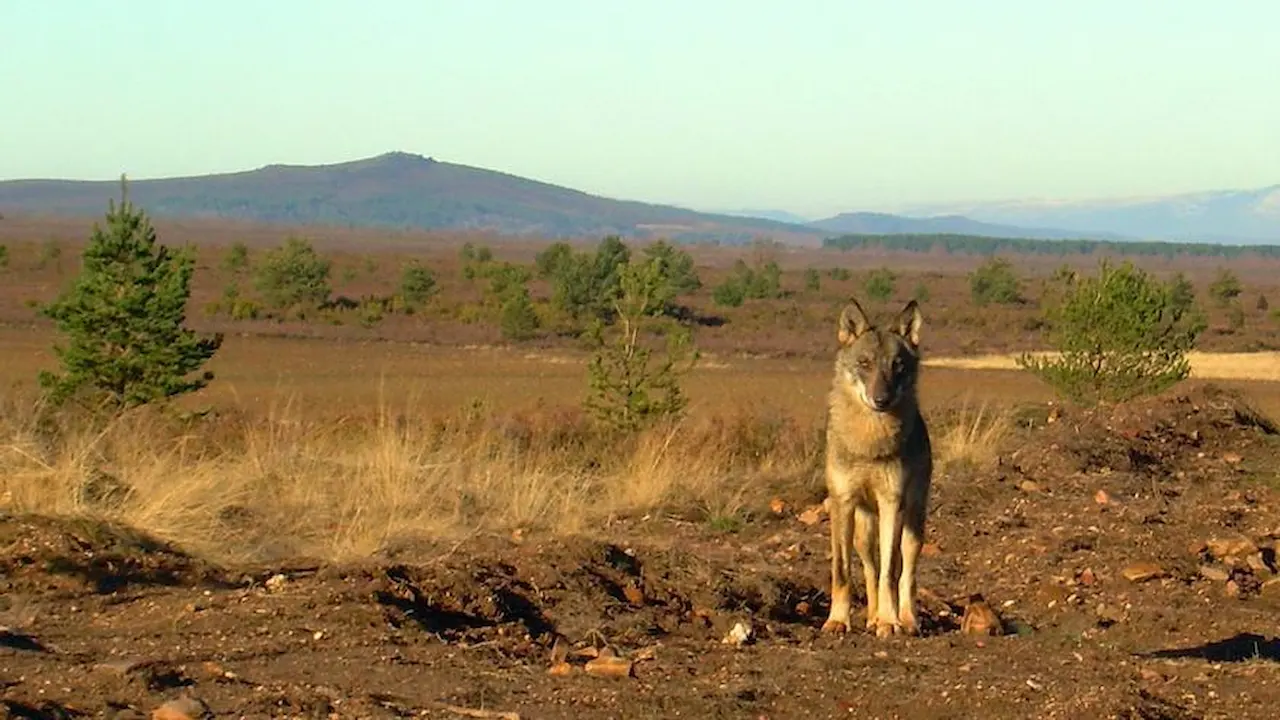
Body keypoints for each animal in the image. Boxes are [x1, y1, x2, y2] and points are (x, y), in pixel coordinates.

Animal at [819, 295, 931, 632]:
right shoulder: (842, 502)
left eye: (897, 366)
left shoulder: (891, 502)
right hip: (863, 532)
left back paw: (905, 620)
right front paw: (837, 621)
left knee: (905, 573)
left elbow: (891, 572)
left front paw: (889, 622)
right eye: (865, 364)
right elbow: (842, 572)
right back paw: (870, 618)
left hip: (913, 524)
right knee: (870, 569)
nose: (881, 400)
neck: (869, 443)